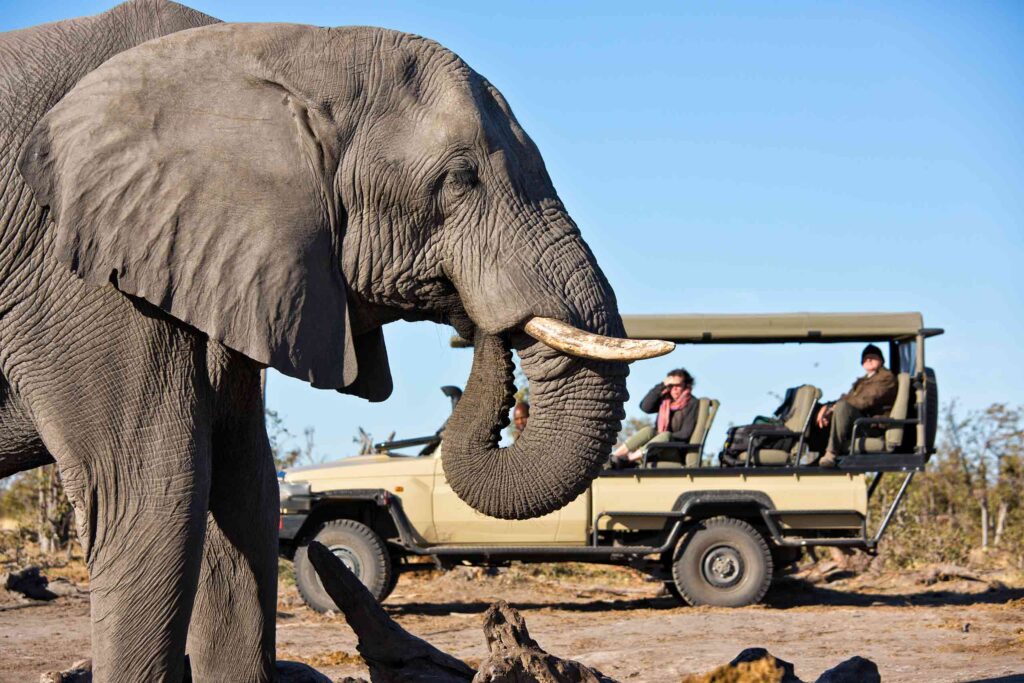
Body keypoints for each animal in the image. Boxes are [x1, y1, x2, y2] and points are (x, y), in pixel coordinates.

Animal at [0, 1, 671, 680]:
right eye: (460, 179)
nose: (482, 323)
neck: (275, 48)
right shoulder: (79, 271)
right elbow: (155, 497)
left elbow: (244, 493)